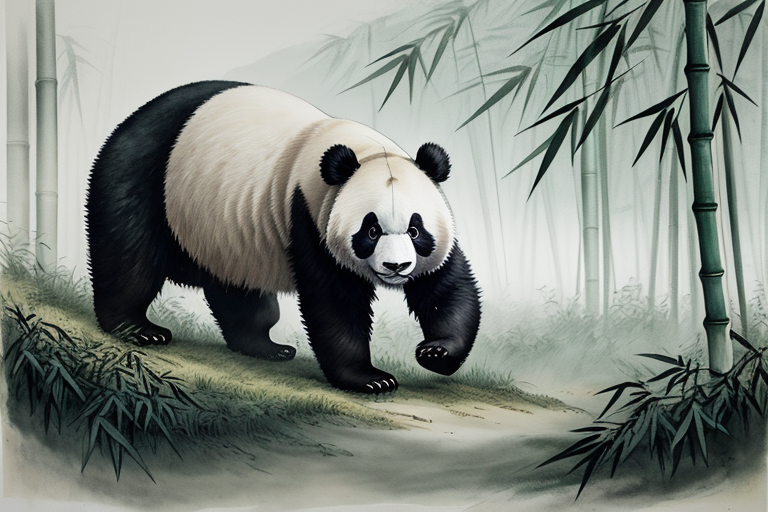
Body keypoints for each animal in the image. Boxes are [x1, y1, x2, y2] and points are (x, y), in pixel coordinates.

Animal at [86, 81, 481, 394]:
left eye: (415, 229)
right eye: (370, 230)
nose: (396, 266)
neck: (365, 152)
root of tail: (130, 120)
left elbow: (446, 287)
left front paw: (436, 351)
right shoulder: (307, 211)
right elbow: (333, 302)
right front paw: (369, 378)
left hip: (229, 232)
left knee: (243, 296)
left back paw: (266, 347)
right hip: (148, 177)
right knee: (129, 255)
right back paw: (137, 328)